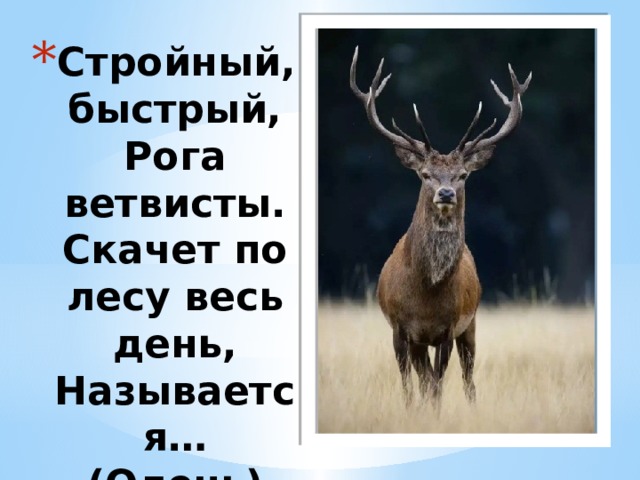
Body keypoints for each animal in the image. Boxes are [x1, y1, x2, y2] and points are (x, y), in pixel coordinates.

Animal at [350, 47, 531, 405]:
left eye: (463, 175)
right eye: (425, 174)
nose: (445, 193)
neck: (426, 294)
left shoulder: (448, 328)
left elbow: (437, 385)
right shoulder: (400, 329)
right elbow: (411, 386)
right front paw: (411, 410)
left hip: (471, 324)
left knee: (467, 379)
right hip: (423, 341)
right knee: (424, 378)